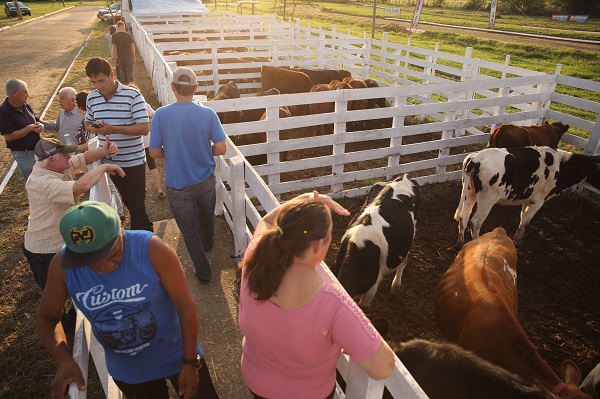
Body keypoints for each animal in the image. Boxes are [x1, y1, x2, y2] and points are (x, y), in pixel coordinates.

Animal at [454, 147, 600, 247]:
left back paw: (461, 243)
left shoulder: (527, 199)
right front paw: (517, 241)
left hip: (469, 193)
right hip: (487, 198)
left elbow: (522, 218)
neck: (561, 166)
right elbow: (525, 221)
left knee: (463, 217)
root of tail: (476, 158)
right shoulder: (537, 201)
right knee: (475, 222)